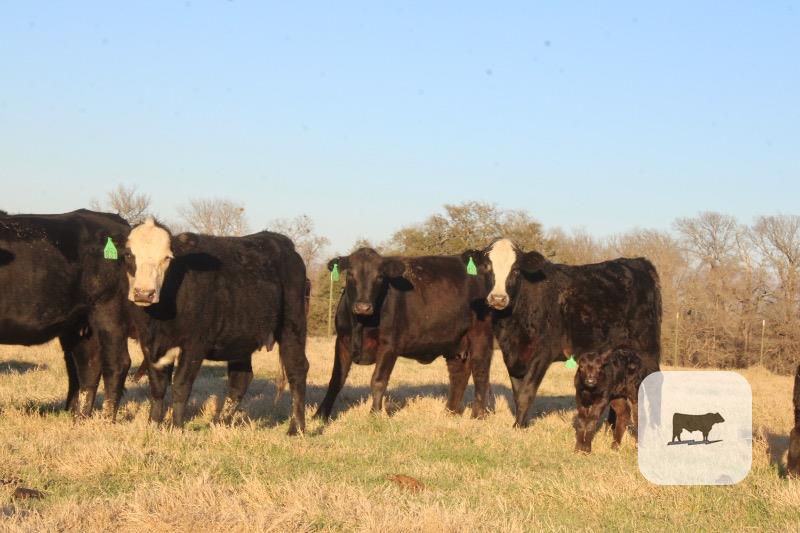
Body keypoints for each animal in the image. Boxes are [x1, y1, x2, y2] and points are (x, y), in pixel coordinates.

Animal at [0, 209, 131, 418]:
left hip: (109, 310)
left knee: (117, 362)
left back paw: (106, 419)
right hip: (79, 322)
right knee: (88, 364)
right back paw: (78, 417)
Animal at [124, 218, 309, 433]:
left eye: (168, 257)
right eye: (128, 254)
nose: (144, 293)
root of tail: (281, 242)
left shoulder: (195, 345)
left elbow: (180, 386)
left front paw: (176, 427)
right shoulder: (149, 345)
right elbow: (157, 387)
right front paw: (153, 425)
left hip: (292, 326)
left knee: (297, 369)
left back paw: (296, 428)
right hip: (240, 338)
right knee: (240, 379)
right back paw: (221, 423)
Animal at [314, 247, 493, 420]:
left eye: (380, 277)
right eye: (350, 274)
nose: (363, 307)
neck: (361, 323)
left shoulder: (389, 345)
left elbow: (378, 380)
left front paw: (374, 415)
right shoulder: (342, 341)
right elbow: (336, 380)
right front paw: (320, 415)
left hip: (481, 335)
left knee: (480, 371)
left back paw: (478, 415)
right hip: (455, 342)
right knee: (458, 374)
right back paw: (450, 413)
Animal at [462, 238, 662, 428]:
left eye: (516, 270)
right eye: (487, 267)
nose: (498, 298)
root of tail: (639, 262)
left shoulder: (543, 352)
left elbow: (526, 392)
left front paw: (517, 427)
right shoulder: (512, 354)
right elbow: (517, 393)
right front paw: (522, 424)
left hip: (648, 350)